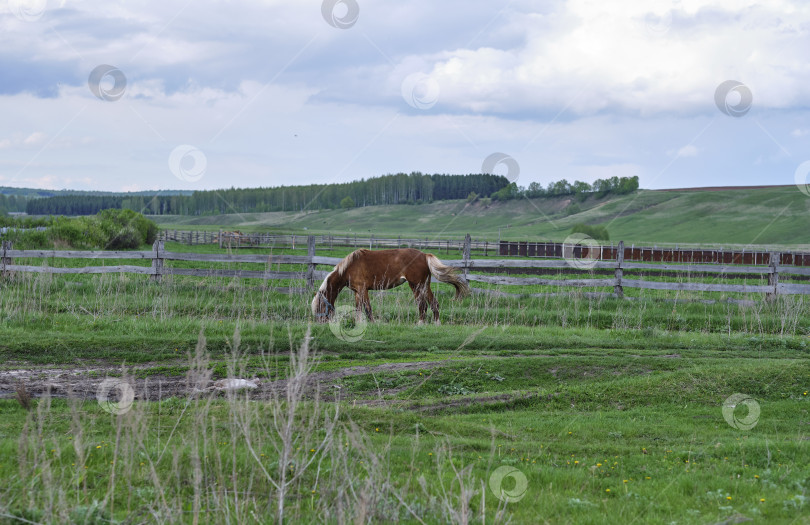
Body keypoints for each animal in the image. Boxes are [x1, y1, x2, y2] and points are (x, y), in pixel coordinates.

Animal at [310, 247, 474, 324]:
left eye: (320, 306)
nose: (320, 322)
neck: (349, 267)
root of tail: (424, 255)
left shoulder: (363, 290)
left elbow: (367, 308)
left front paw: (373, 323)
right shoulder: (357, 292)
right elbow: (358, 309)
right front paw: (359, 323)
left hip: (416, 285)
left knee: (422, 305)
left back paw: (420, 323)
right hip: (425, 285)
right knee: (434, 303)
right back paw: (436, 323)